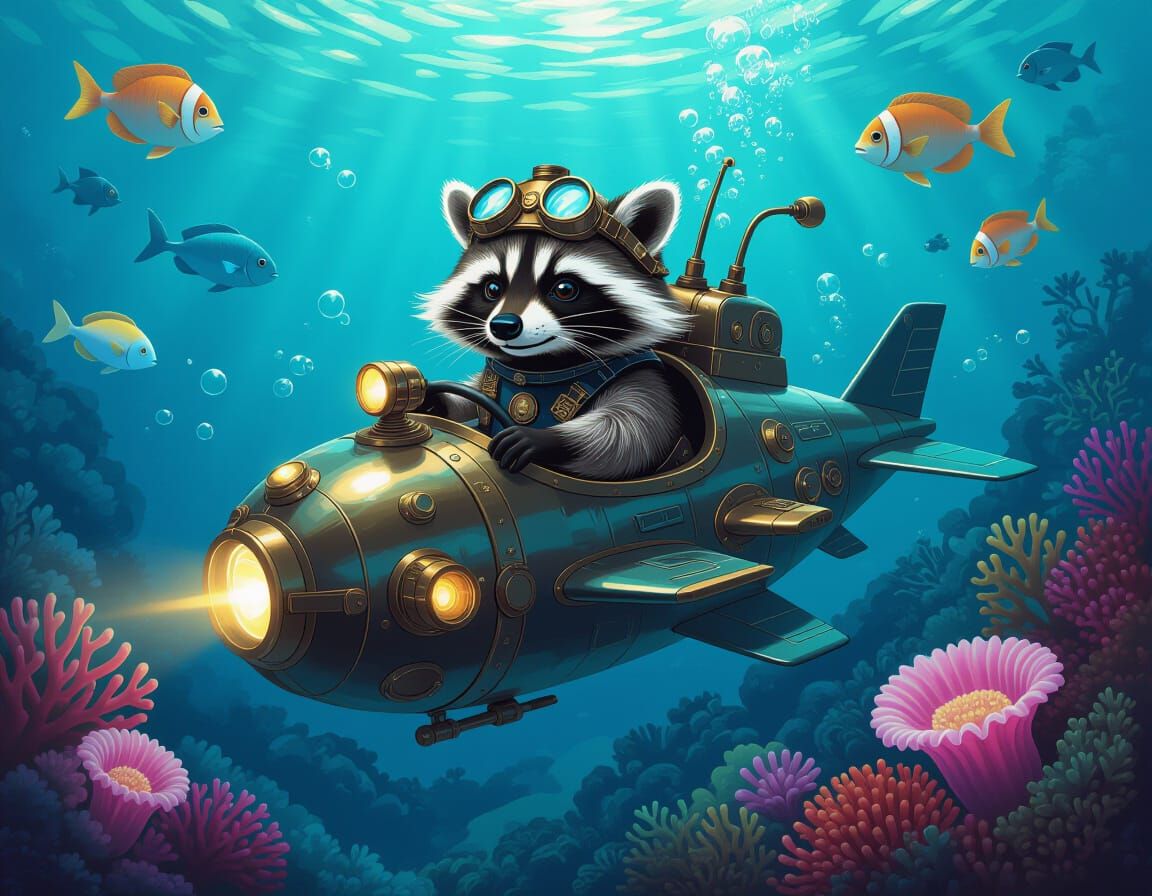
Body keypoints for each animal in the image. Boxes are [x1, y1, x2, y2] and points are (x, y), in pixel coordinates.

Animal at [416, 177, 693, 480]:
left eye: (564, 289)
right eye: (493, 288)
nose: (504, 326)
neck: (538, 367)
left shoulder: (641, 375)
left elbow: (635, 431)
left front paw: (543, 439)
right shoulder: (492, 380)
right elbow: (472, 391)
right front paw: (433, 398)